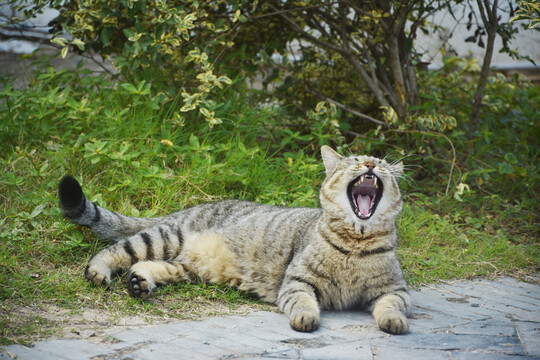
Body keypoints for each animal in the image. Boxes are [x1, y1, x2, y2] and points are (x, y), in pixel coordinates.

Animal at [58, 146, 410, 334]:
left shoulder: (395, 289)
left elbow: (392, 305)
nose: (370, 164)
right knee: (118, 249)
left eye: (382, 165)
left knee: (149, 265)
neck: (355, 242)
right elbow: (303, 301)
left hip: (186, 268)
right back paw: (99, 271)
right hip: (167, 236)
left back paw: (139, 283)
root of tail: (187, 209)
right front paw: (306, 317)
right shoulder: (297, 281)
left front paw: (394, 321)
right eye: (354, 162)